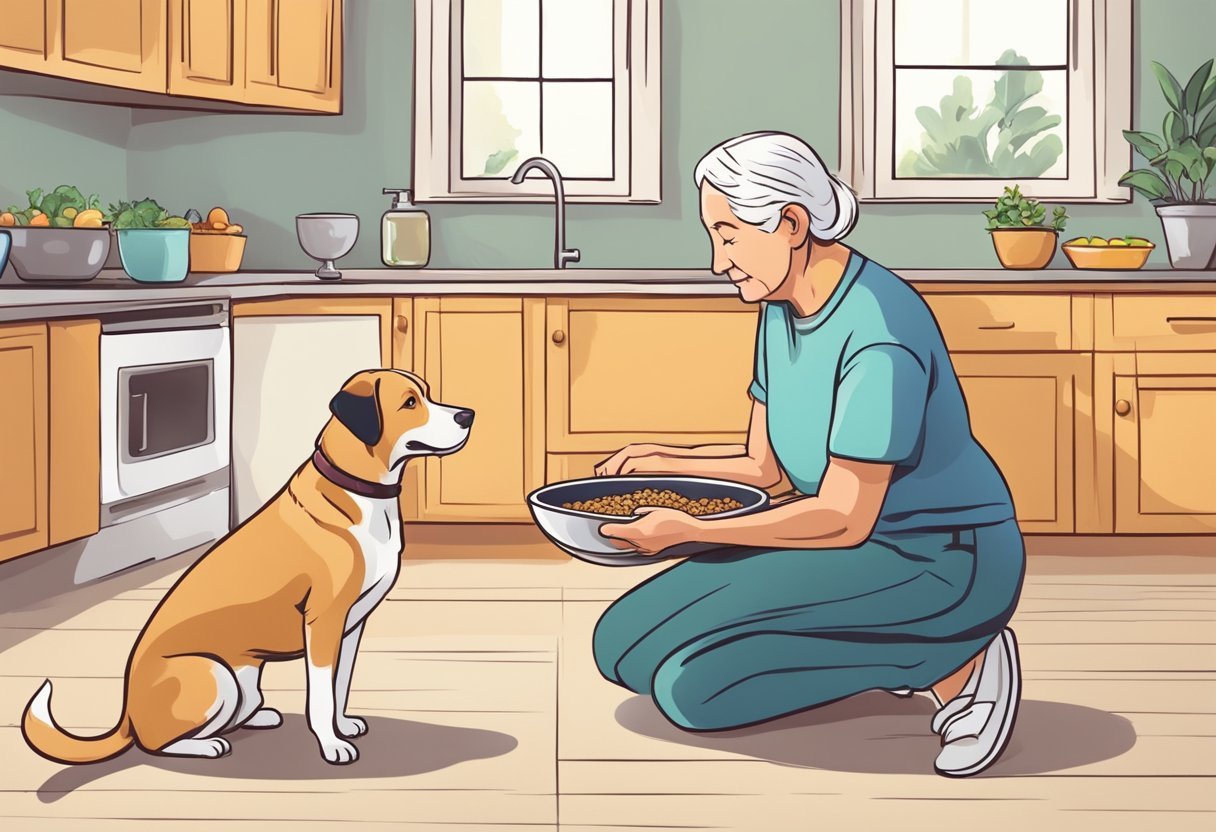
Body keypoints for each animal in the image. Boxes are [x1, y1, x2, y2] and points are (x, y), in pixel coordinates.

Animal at [22, 369, 474, 768]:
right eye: (410, 403)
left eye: (426, 393)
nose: (467, 415)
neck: (358, 492)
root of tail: (126, 717)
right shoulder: (323, 622)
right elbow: (321, 695)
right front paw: (331, 745)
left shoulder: (352, 626)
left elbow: (340, 685)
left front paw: (343, 725)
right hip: (213, 673)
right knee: (157, 742)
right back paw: (208, 747)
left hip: (243, 681)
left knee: (234, 712)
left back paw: (257, 718)